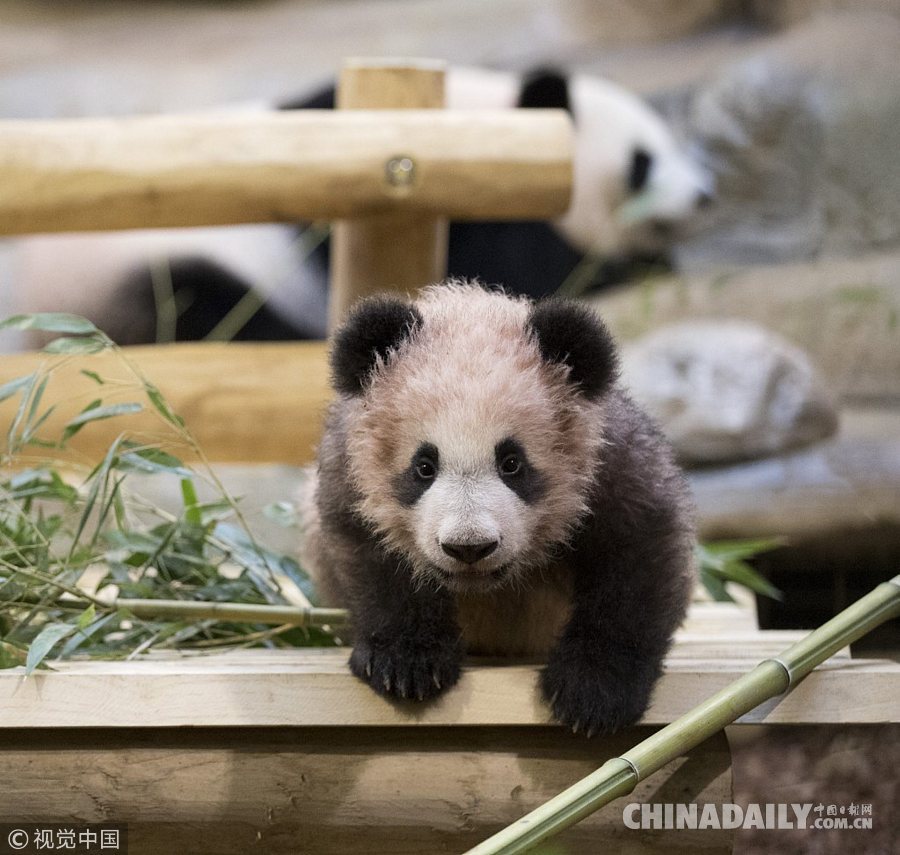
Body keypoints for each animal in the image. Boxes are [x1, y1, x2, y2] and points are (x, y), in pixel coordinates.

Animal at [7, 67, 712, 344]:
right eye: (644, 160)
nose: (704, 195)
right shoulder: (466, 191)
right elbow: (516, 267)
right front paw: (623, 268)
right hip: (146, 266)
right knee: (202, 306)